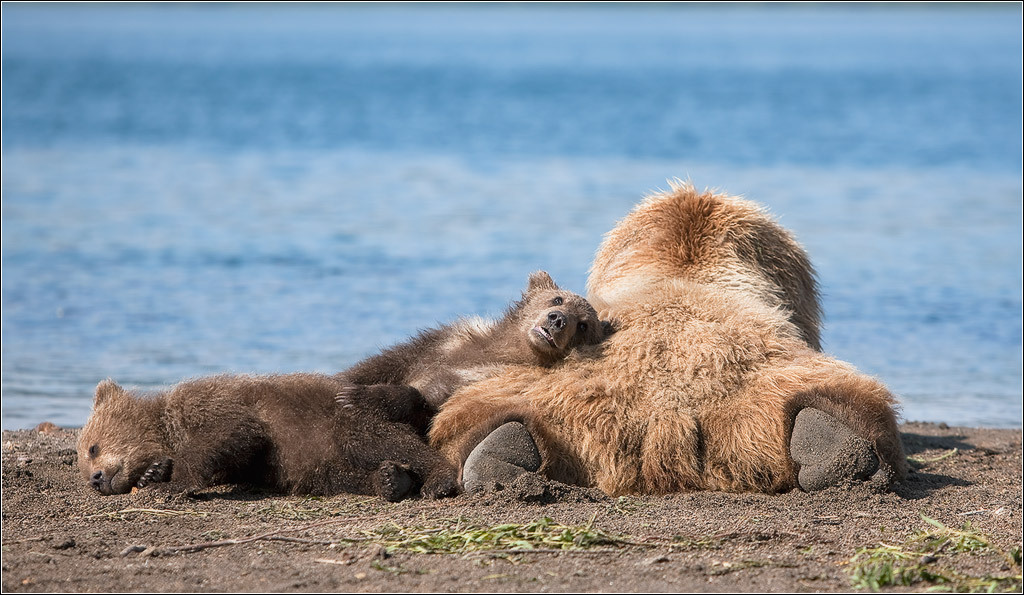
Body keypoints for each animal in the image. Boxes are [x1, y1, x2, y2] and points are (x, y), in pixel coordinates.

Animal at [78, 372, 460, 499]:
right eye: (83, 464)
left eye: (92, 448)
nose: (96, 479)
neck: (166, 429)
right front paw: (153, 472)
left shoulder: (211, 404)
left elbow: (230, 433)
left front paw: (170, 482)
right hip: (318, 464)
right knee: (341, 476)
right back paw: (390, 480)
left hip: (345, 421)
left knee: (383, 441)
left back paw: (437, 479)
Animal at [335, 270, 606, 415]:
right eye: (557, 299)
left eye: (583, 325)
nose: (558, 319)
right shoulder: (444, 341)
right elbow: (382, 362)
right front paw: (345, 383)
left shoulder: (476, 378)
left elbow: (427, 399)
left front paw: (356, 397)